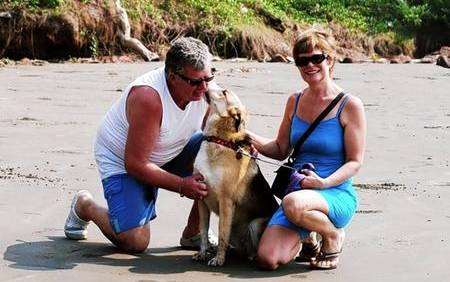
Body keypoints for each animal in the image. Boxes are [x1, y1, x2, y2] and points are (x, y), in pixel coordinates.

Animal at [192, 87, 278, 266]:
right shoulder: (201, 198)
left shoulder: (226, 201)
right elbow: (203, 230)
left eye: (224, 92)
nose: (206, 83)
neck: (217, 140)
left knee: (251, 249)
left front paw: (218, 259)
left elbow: (222, 233)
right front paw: (203, 253)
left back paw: (252, 258)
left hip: (255, 225)